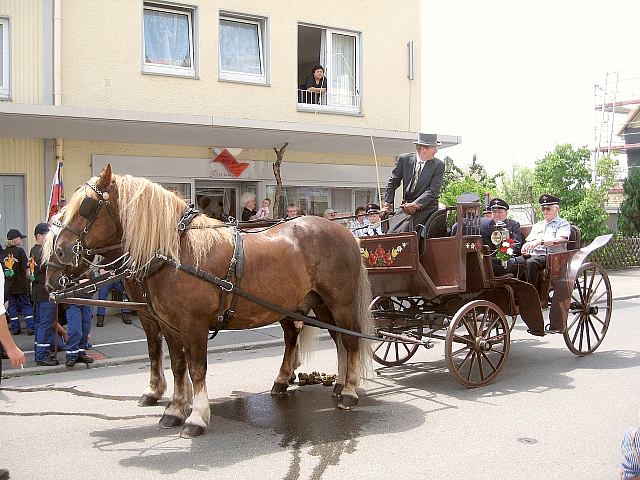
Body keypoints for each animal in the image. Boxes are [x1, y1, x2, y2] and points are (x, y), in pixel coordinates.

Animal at [47, 166, 376, 438]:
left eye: (87, 206)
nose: (59, 255)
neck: (175, 253)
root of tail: (344, 231)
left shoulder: (193, 325)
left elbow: (196, 369)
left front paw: (196, 417)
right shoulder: (167, 323)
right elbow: (176, 364)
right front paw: (174, 408)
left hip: (340, 303)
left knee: (350, 341)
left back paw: (348, 392)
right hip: (317, 304)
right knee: (330, 339)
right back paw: (325, 384)